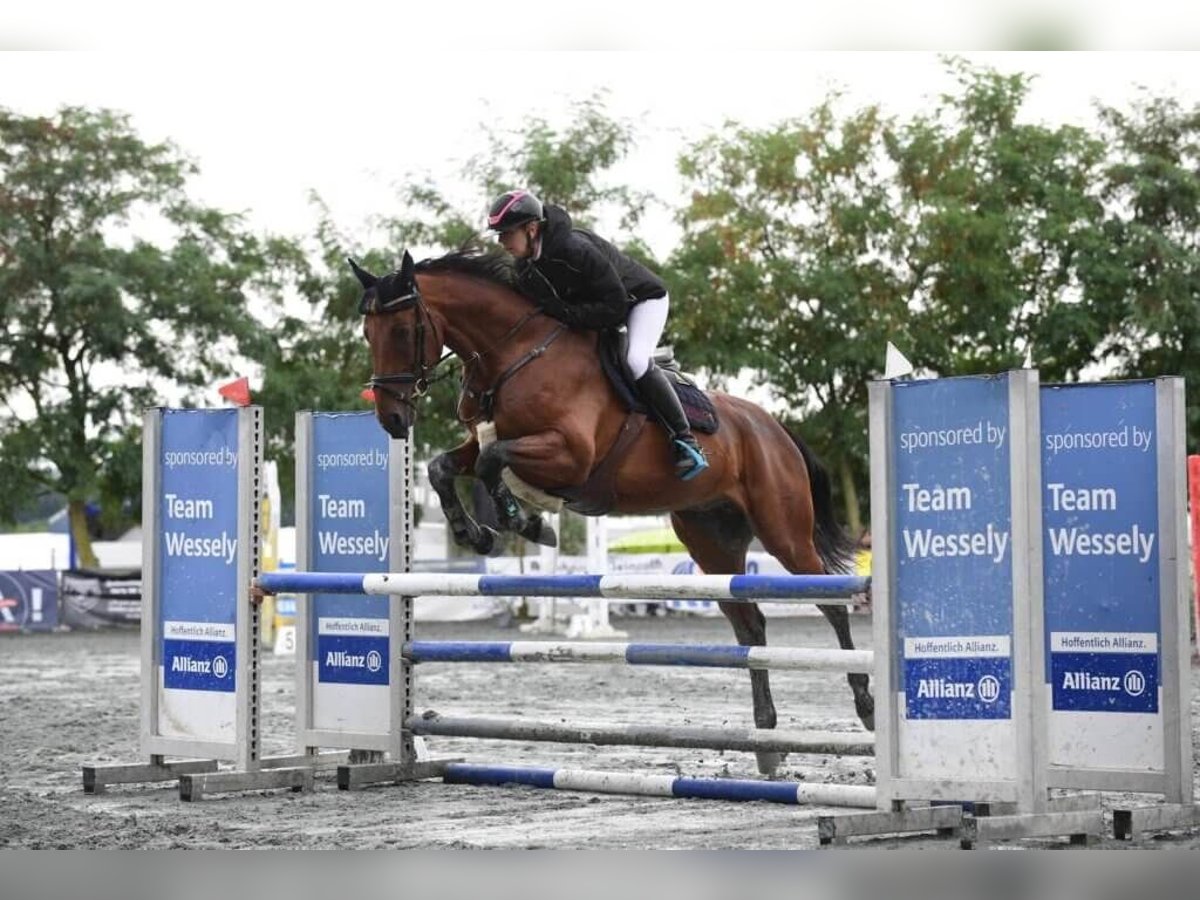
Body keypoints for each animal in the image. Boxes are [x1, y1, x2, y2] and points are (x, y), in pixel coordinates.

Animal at [350, 248, 873, 777]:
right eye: (368, 333)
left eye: (402, 330)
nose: (392, 419)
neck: (513, 353)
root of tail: (774, 427)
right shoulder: (484, 442)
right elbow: (444, 467)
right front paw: (476, 532)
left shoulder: (569, 454)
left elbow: (494, 463)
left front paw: (526, 521)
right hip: (712, 543)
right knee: (750, 625)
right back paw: (767, 742)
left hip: (783, 531)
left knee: (831, 603)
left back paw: (865, 706)